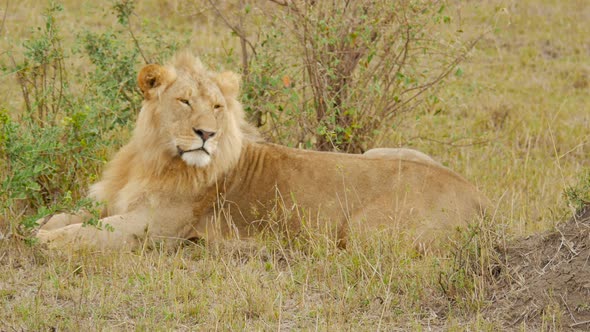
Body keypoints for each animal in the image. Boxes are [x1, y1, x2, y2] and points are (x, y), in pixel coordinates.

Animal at [35, 53, 490, 252]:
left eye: (218, 107)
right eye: (184, 101)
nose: (206, 133)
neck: (154, 158)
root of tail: (479, 198)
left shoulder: (153, 227)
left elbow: (83, 233)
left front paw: (44, 240)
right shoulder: (116, 201)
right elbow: (70, 215)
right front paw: (38, 224)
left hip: (360, 232)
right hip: (384, 150)